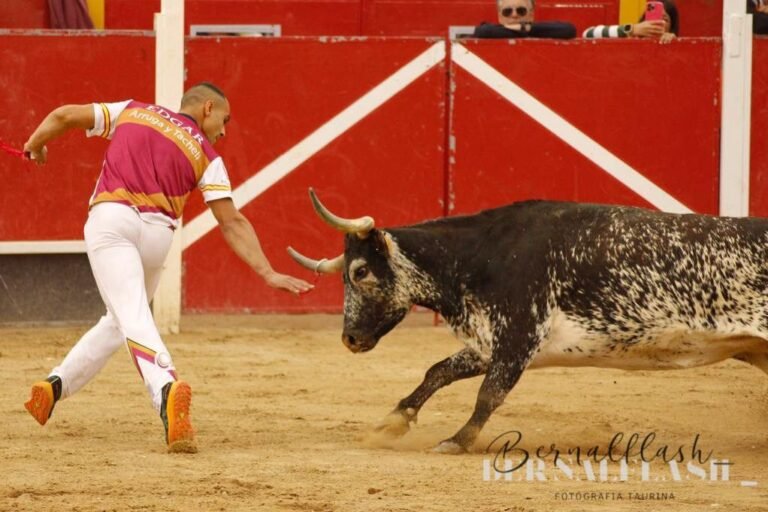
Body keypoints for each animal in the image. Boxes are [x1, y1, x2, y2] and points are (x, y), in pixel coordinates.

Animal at [288, 189, 768, 454]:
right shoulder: (489, 341)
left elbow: (488, 394)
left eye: (360, 272)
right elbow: (438, 371)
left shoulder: (518, 338)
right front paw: (392, 422)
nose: (350, 338)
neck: (484, 255)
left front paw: (456, 441)